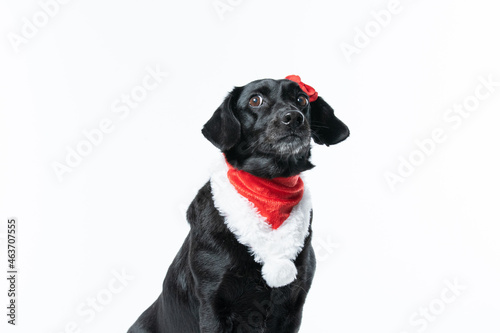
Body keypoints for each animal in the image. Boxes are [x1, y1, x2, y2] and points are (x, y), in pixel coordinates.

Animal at [129, 76, 348, 330]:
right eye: (255, 100)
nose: (293, 117)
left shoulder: (293, 306)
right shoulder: (212, 304)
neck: (269, 192)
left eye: (301, 99)